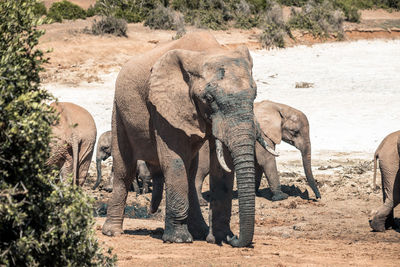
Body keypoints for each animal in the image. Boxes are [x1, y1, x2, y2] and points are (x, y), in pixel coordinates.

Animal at [102, 31, 278, 249]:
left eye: (254, 95)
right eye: (209, 99)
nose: (235, 239)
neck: (207, 52)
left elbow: (223, 166)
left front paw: (220, 237)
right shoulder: (163, 105)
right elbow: (175, 160)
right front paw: (178, 240)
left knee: (190, 172)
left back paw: (200, 232)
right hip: (118, 111)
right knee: (124, 169)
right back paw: (112, 232)